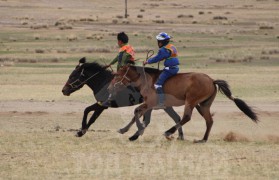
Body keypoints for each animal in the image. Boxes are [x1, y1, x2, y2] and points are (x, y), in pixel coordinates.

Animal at [108, 64, 260, 142]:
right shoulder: (158, 106)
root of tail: (212, 80)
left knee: (187, 117)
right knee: (209, 121)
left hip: (191, 101)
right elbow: (142, 118)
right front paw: (127, 131)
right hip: (203, 105)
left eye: (117, 75)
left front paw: (135, 133)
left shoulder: (150, 104)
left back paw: (168, 132)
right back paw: (203, 139)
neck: (147, 81)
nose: (110, 87)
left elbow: (137, 113)